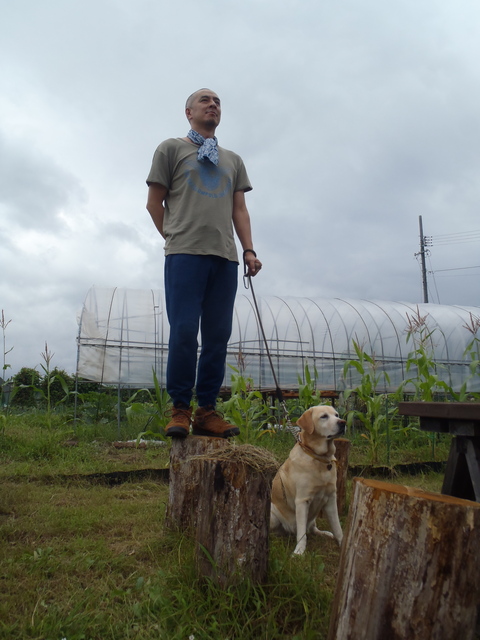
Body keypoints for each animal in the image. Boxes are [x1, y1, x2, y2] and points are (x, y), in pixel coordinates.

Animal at [270, 404, 344, 556]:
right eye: (324, 416)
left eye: (337, 415)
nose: (343, 422)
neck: (320, 458)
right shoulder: (302, 500)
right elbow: (302, 533)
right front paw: (299, 551)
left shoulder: (331, 498)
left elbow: (337, 526)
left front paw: (343, 543)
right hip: (272, 513)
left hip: (313, 518)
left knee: (313, 529)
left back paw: (325, 533)